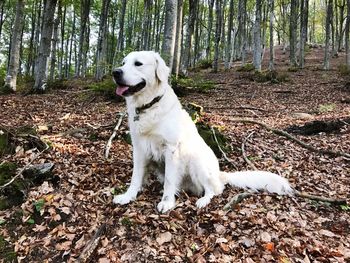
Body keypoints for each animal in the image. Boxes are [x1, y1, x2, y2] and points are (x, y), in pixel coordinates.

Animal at [112, 51, 292, 214]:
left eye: (138, 63)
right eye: (123, 62)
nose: (115, 72)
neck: (148, 106)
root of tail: (220, 174)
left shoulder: (171, 148)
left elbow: (170, 180)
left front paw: (167, 202)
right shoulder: (139, 148)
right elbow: (136, 177)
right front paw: (128, 196)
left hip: (196, 160)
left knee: (214, 189)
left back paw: (203, 200)